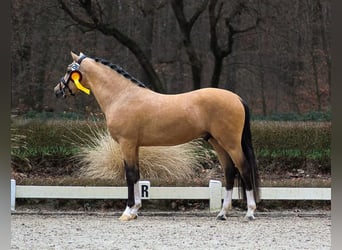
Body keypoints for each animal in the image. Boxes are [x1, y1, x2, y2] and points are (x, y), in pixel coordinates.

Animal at [53, 51, 260, 222]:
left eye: (68, 70)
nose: (57, 90)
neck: (123, 96)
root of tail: (236, 98)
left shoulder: (127, 144)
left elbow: (129, 175)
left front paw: (127, 212)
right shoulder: (134, 146)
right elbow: (136, 174)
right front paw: (135, 210)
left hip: (231, 143)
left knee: (244, 169)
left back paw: (250, 212)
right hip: (218, 142)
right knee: (230, 171)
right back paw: (222, 213)